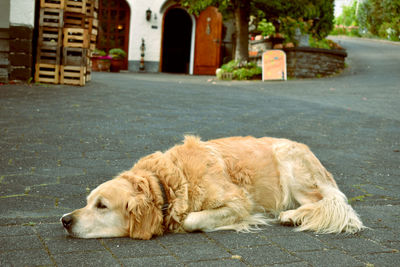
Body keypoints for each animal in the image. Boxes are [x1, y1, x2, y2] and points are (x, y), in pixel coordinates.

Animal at [61, 136, 364, 241]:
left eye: (102, 206)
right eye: (87, 202)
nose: (64, 220)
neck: (168, 183)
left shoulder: (239, 201)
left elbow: (192, 219)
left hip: (290, 163)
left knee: (328, 202)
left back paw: (292, 215)